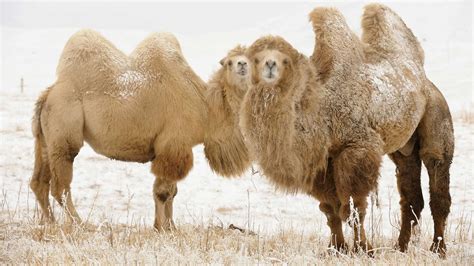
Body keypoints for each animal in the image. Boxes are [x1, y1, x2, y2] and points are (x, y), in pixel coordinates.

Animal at [28, 30, 252, 231]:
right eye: (230, 62)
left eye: (250, 59)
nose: (242, 65)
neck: (205, 108)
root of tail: (48, 94)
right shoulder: (173, 145)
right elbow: (163, 192)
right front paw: (162, 228)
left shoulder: (172, 149)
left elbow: (172, 191)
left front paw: (170, 227)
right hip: (64, 130)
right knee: (60, 186)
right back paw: (81, 224)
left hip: (45, 138)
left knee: (39, 182)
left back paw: (50, 223)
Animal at [241, 4, 456, 258]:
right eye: (254, 59)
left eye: (283, 60)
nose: (269, 66)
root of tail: (425, 81)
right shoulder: (323, 161)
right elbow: (330, 209)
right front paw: (336, 249)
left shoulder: (355, 149)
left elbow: (354, 208)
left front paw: (364, 249)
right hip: (404, 148)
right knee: (411, 193)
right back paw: (400, 248)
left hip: (437, 116)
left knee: (437, 179)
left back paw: (438, 249)